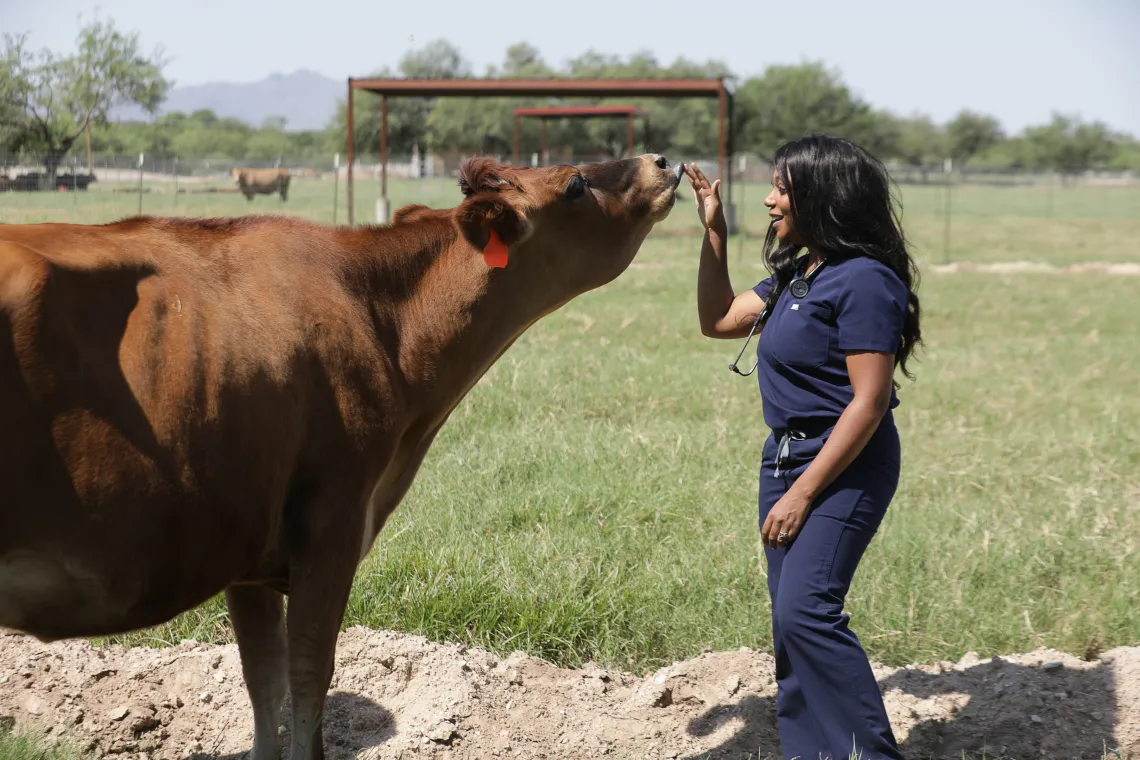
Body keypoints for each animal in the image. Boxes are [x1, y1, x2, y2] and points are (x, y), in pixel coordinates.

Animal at [0, 154, 684, 760]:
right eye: (574, 183)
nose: (661, 161)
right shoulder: (330, 528)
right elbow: (308, 677)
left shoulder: (246, 550)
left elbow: (262, 683)